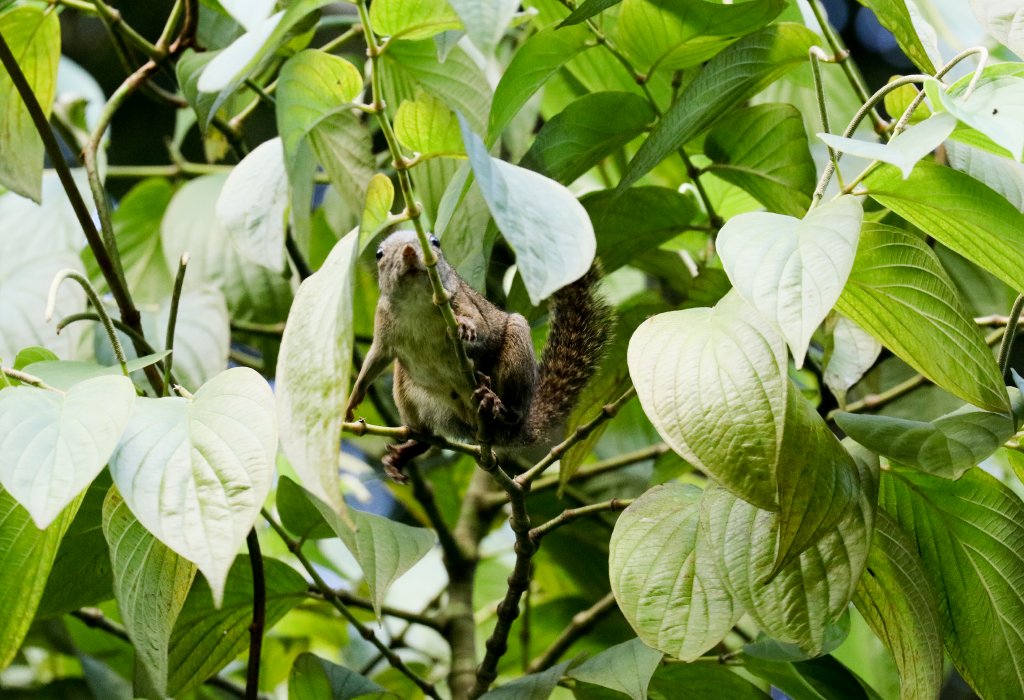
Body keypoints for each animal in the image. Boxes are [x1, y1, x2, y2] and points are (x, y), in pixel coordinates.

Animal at [344, 230, 612, 482]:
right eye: (379, 254)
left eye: (435, 242)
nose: (409, 251)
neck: (415, 303)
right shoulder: (383, 333)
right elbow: (374, 360)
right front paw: (352, 400)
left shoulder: (461, 300)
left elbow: (480, 327)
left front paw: (466, 327)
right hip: (406, 390)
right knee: (425, 436)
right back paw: (410, 448)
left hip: (516, 354)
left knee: (512, 412)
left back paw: (495, 403)